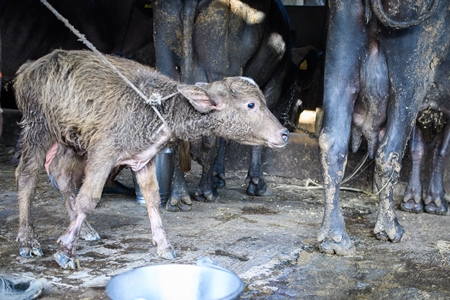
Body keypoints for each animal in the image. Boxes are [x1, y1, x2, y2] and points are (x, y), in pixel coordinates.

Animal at [152, 0, 298, 211]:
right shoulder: (273, 84)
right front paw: (256, 182)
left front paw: (218, 175)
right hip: (220, 67)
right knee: (210, 139)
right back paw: (205, 191)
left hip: (166, 61)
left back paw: (179, 196)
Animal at [318, 0, 448, 254]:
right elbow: (439, 151)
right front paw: (434, 201)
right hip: (409, 77)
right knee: (389, 152)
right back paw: (391, 229)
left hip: (340, 59)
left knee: (332, 143)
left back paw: (335, 239)